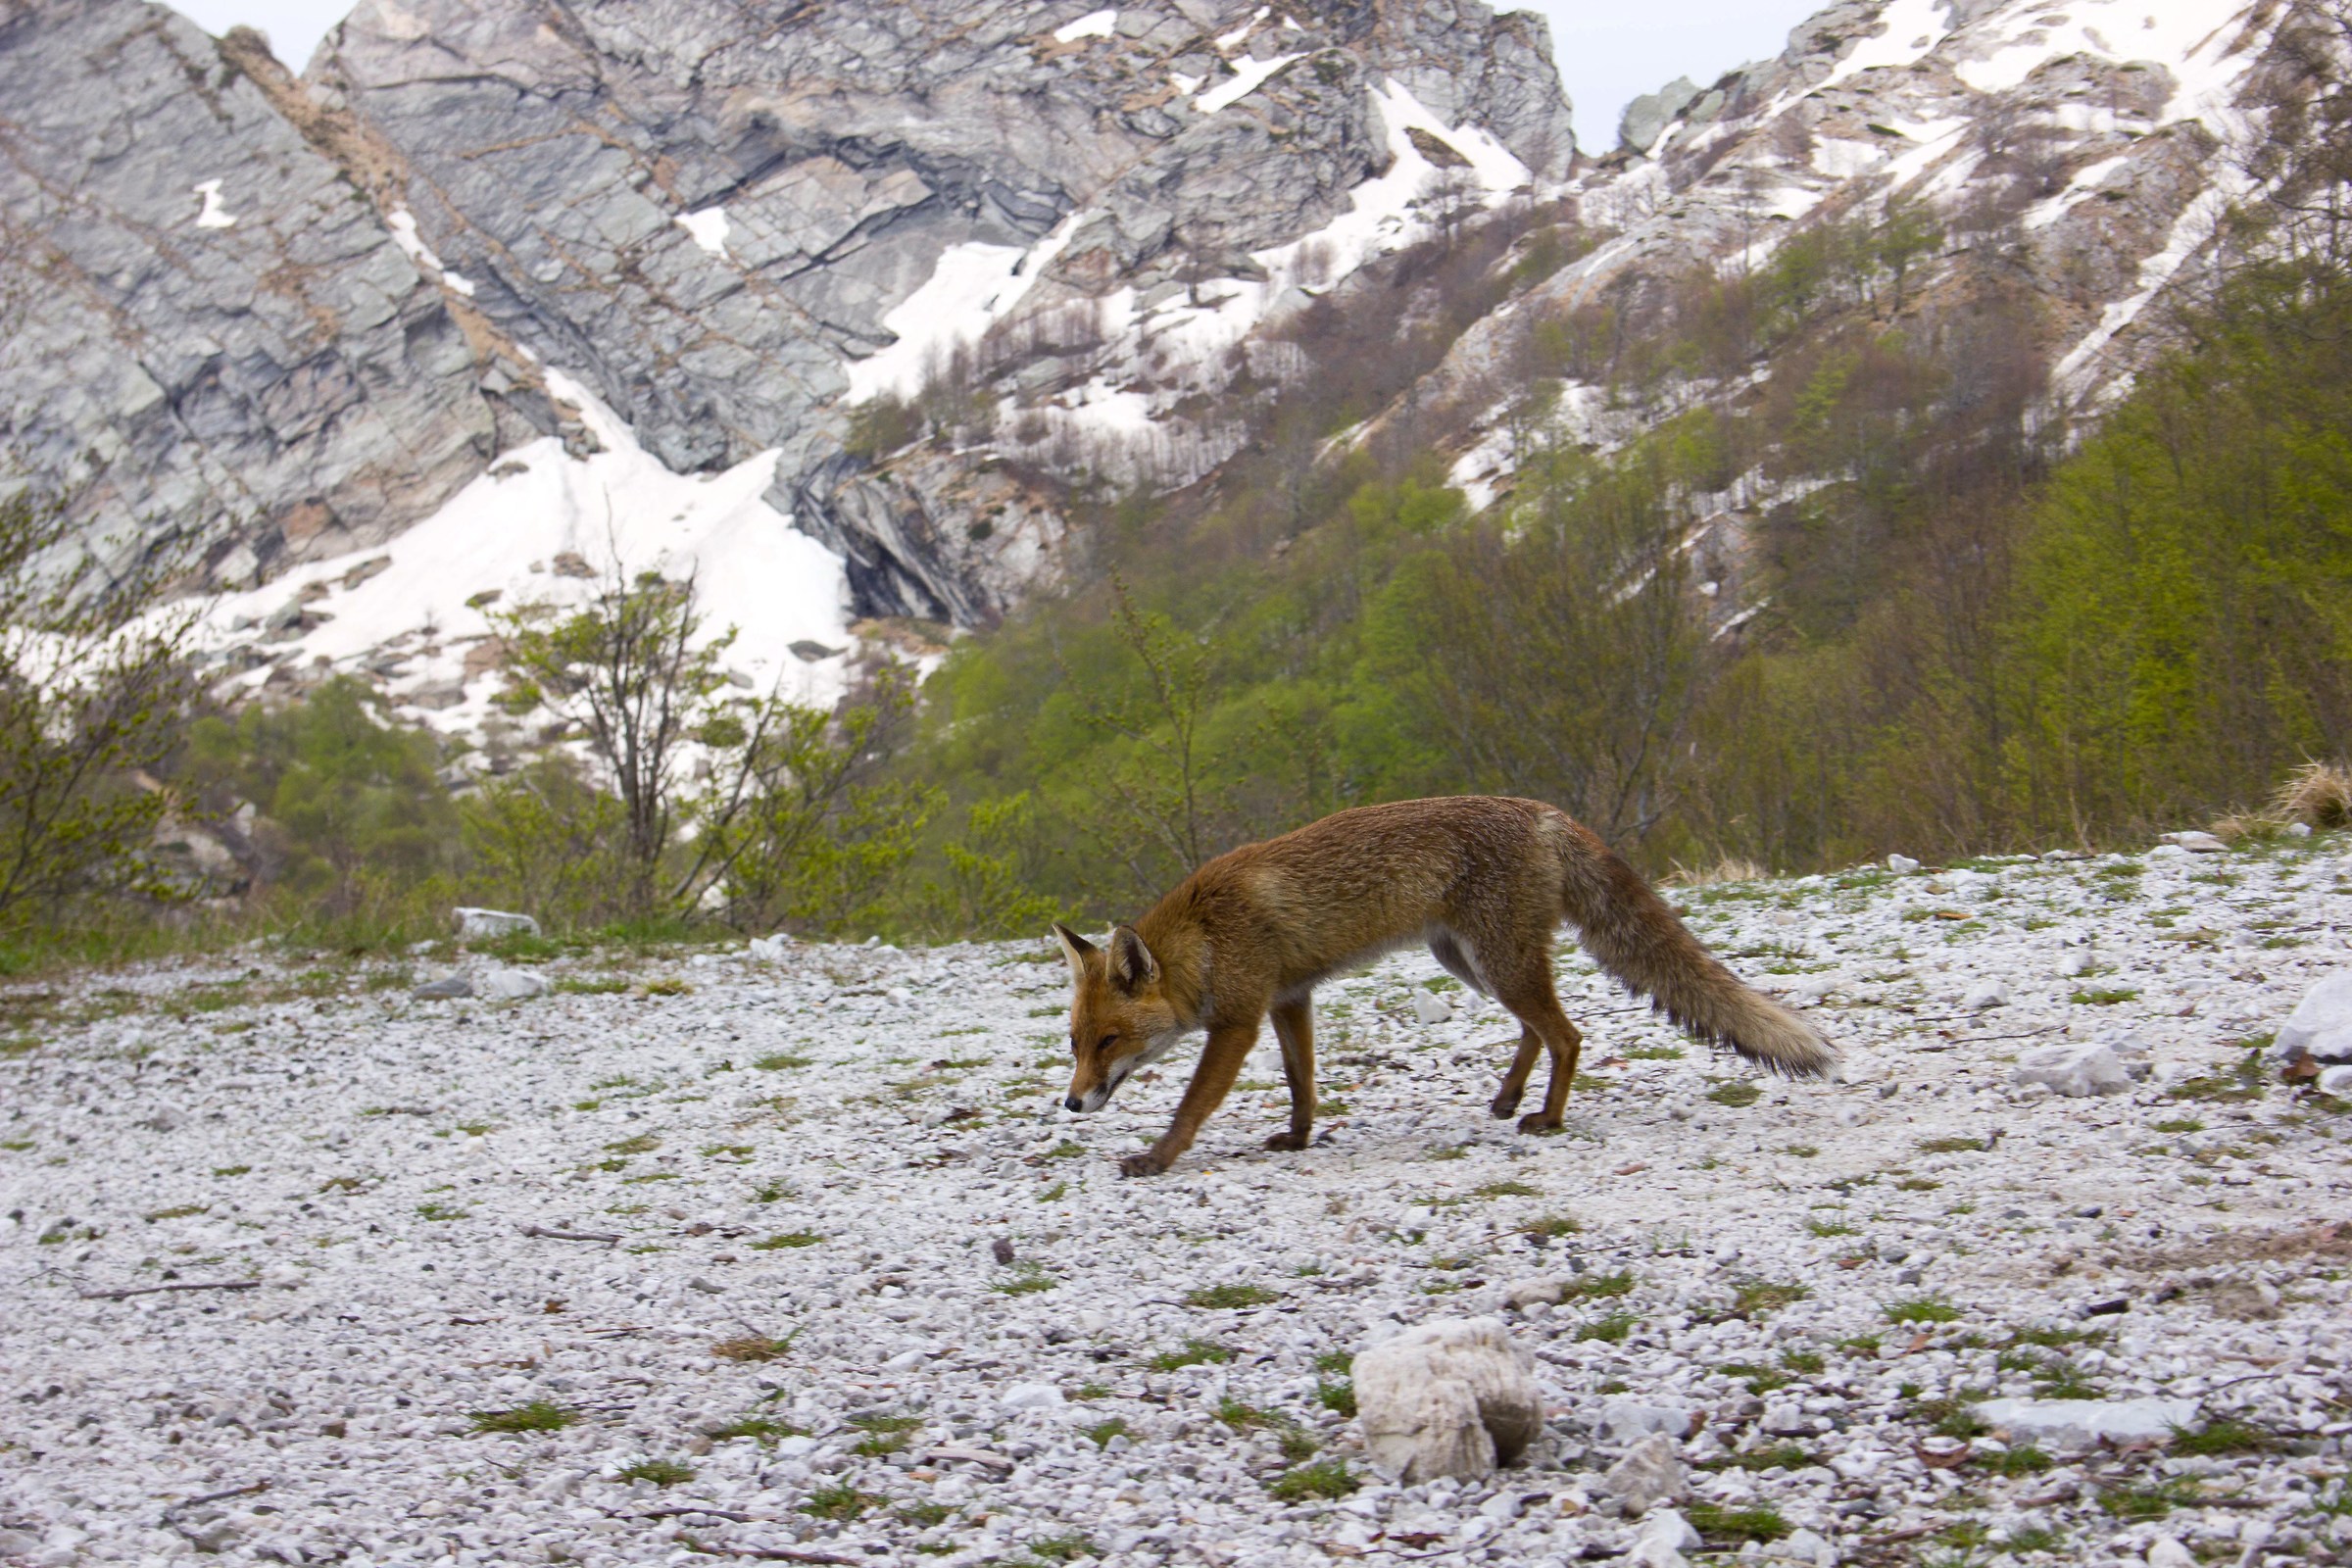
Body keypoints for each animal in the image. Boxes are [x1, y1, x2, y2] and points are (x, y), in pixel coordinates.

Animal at [1051, 795, 1835, 1176]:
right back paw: (1510, 1097)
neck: (1207, 935)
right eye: (1074, 1043)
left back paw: (1547, 1118)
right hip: (1475, 966)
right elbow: (1303, 1083)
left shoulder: (1238, 1021)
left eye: (1109, 1041)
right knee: (1536, 1029)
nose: (1072, 1102)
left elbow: (1191, 1107)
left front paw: (1158, 1159)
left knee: (1568, 1035)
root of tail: (1543, 811)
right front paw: (1300, 1138)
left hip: (1498, 965)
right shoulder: (1290, 1000)